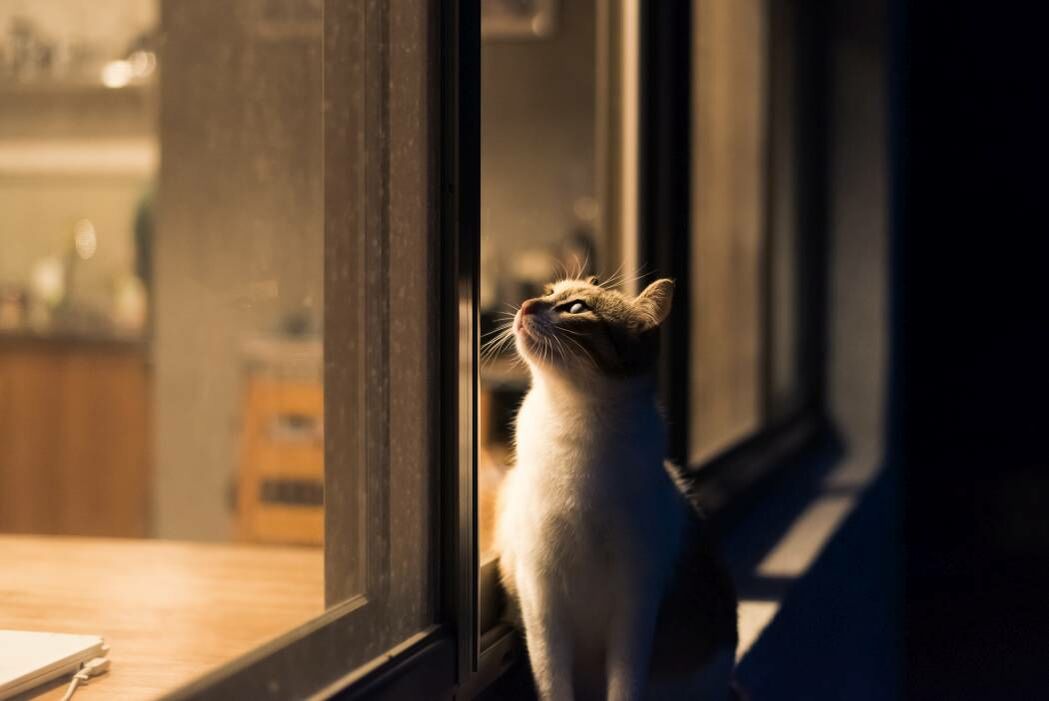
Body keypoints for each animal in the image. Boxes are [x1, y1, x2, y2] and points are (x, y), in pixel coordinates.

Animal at [490, 277, 738, 696]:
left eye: (575, 308)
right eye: (548, 290)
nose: (525, 305)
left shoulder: (635, 602)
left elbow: (625, 683)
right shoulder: (541, 595)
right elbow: (552, 681)